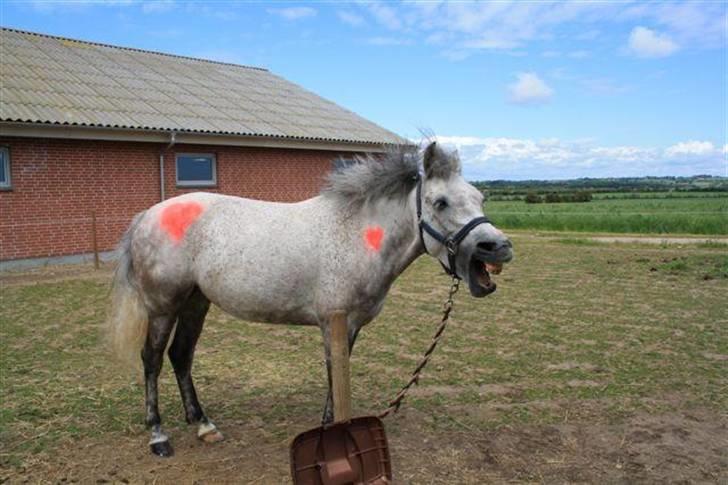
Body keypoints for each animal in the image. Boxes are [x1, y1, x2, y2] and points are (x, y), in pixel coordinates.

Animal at [106, 142, 512, 456]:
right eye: (440, 202)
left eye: (479, 197)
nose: (498, 247)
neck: (356, 233)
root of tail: (147, 215)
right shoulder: (334, 321)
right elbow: (334, 372)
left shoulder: (349, 326)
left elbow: (339, 374)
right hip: (163, 306)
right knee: (153, 360)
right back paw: (158, 436)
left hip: (195, 303)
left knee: (181, 356)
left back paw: (204, 425)